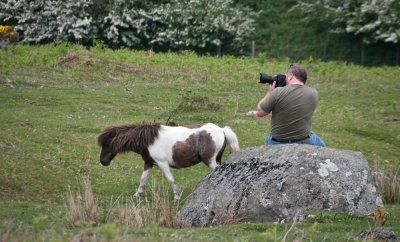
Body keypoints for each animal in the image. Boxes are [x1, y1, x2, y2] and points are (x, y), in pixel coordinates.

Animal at [97, 123, 241, 200]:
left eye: (107, 143)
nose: (103, 161)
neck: (149, 140)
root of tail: (221, 130)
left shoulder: (162, 163)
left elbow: (170, 179)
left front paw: (177, 196)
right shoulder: (149, 163)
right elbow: (143, 179)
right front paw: (137, 194)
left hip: (210, 161)